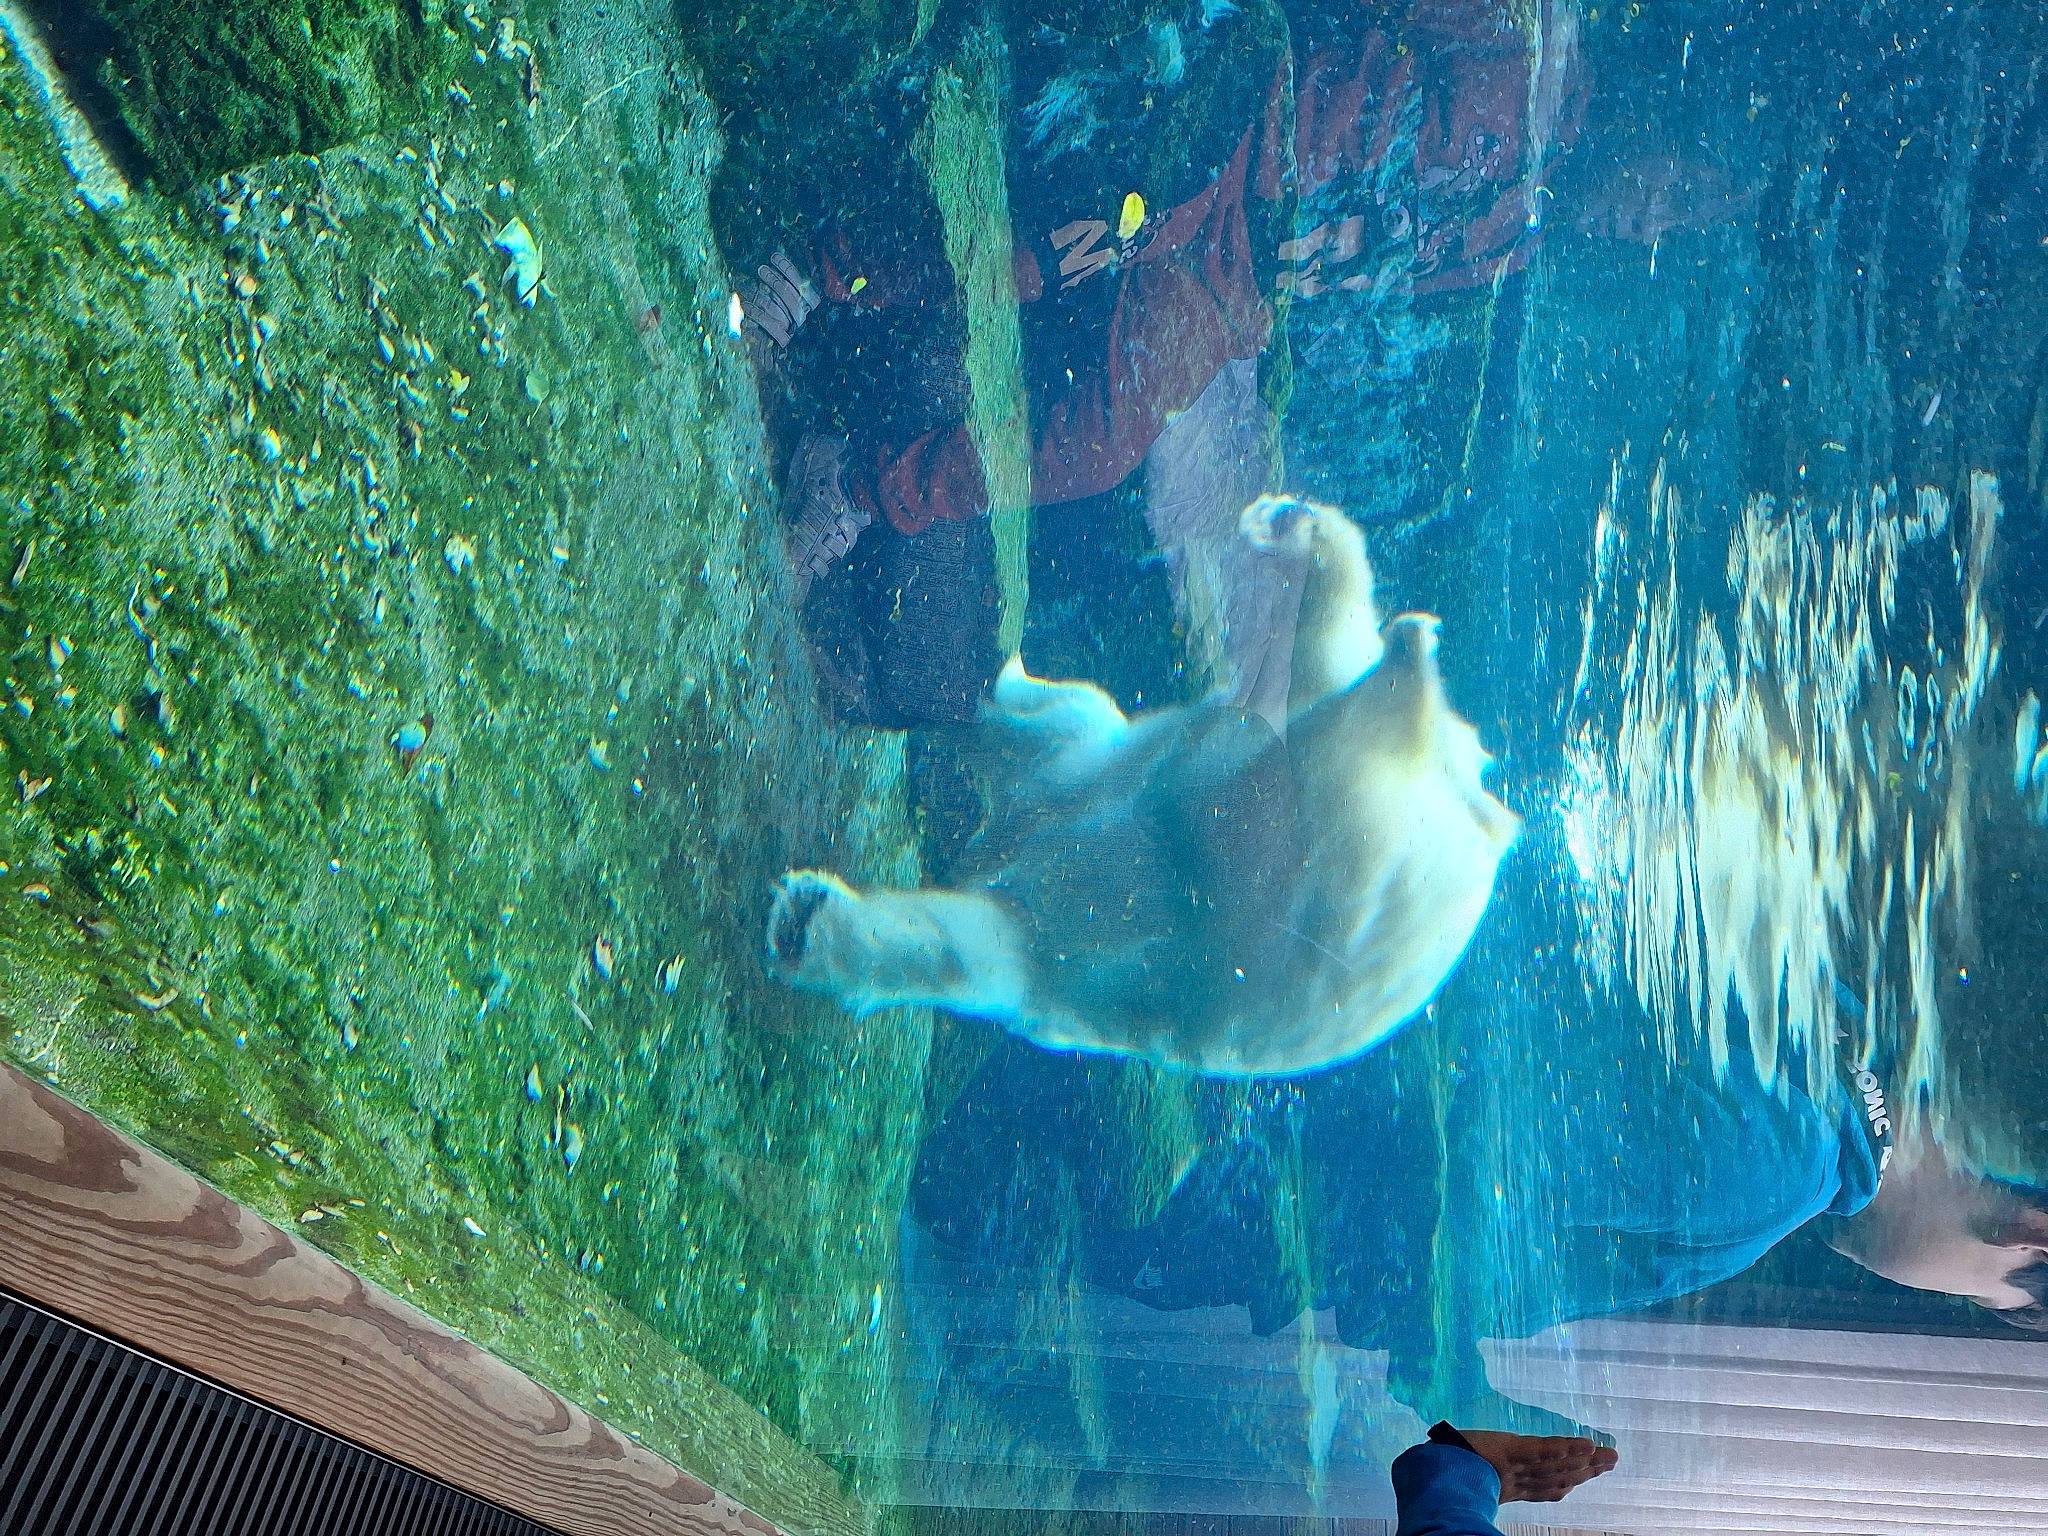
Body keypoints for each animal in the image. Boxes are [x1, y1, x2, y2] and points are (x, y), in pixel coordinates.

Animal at [765, 495, 1520, 1075]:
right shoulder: (1077, 774)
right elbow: (1040, 716)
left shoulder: (1057, 954)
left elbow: (961, 946)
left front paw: (802, 919)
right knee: (1309, 673)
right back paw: (1300, 539)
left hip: (1303, 903)